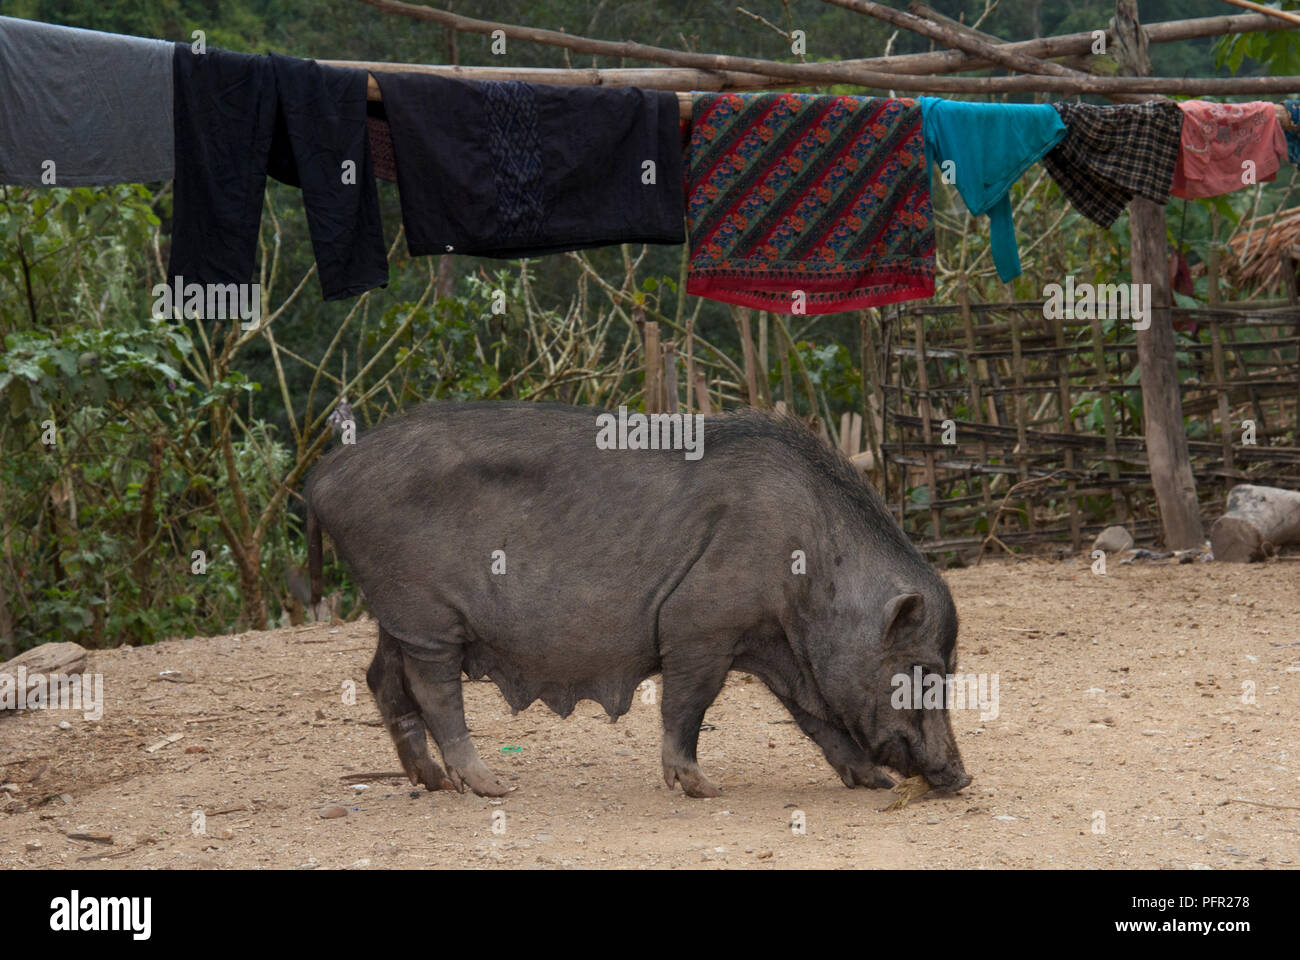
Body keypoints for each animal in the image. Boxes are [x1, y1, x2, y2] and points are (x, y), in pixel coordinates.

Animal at [305, 401, 969, 799]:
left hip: (396, 615)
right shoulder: (699, 625)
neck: (813, 568)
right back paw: (490, 786)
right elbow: (688, 703)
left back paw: (433, 782)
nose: (961, 776)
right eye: (921, 671)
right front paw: (701, 788)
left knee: (381, 676)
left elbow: (816, 718)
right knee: (432, 687)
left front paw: (873, 782)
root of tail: (323, 474)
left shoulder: (780, 649)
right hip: (425, 613)